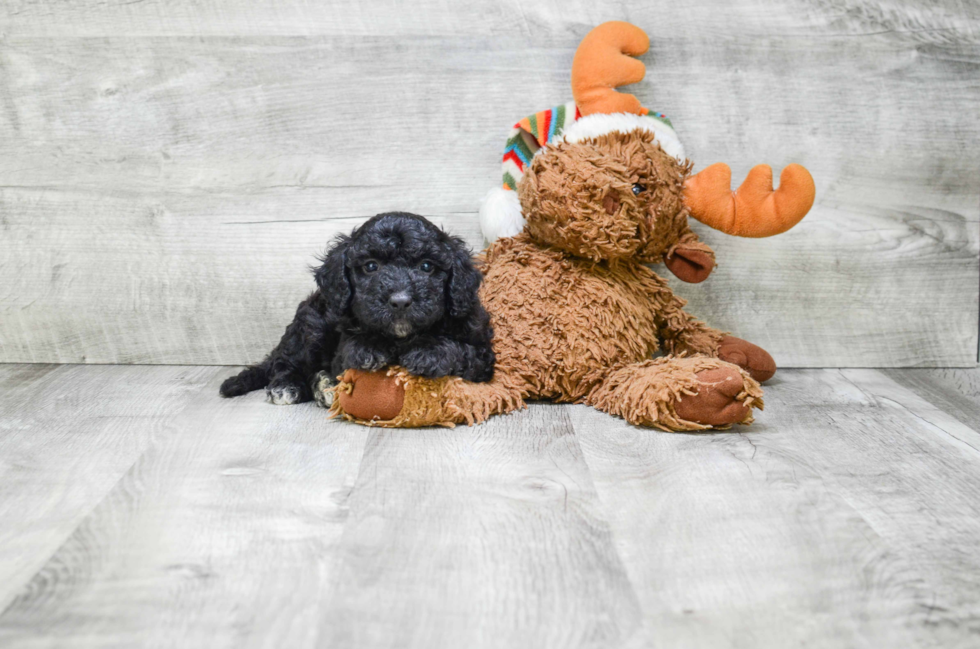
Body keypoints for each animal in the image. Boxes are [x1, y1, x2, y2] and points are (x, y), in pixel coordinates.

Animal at [219, 213, 494, 404]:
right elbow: (352, 347)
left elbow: (462, 350)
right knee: (284, 361)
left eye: (427, 266)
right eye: (371, 266)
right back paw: (287, 386)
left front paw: (429, 350)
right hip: (312, 326)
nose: (400, 300)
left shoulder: (483, 355)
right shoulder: (341, 354)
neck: (400, 338)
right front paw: (368, 347)